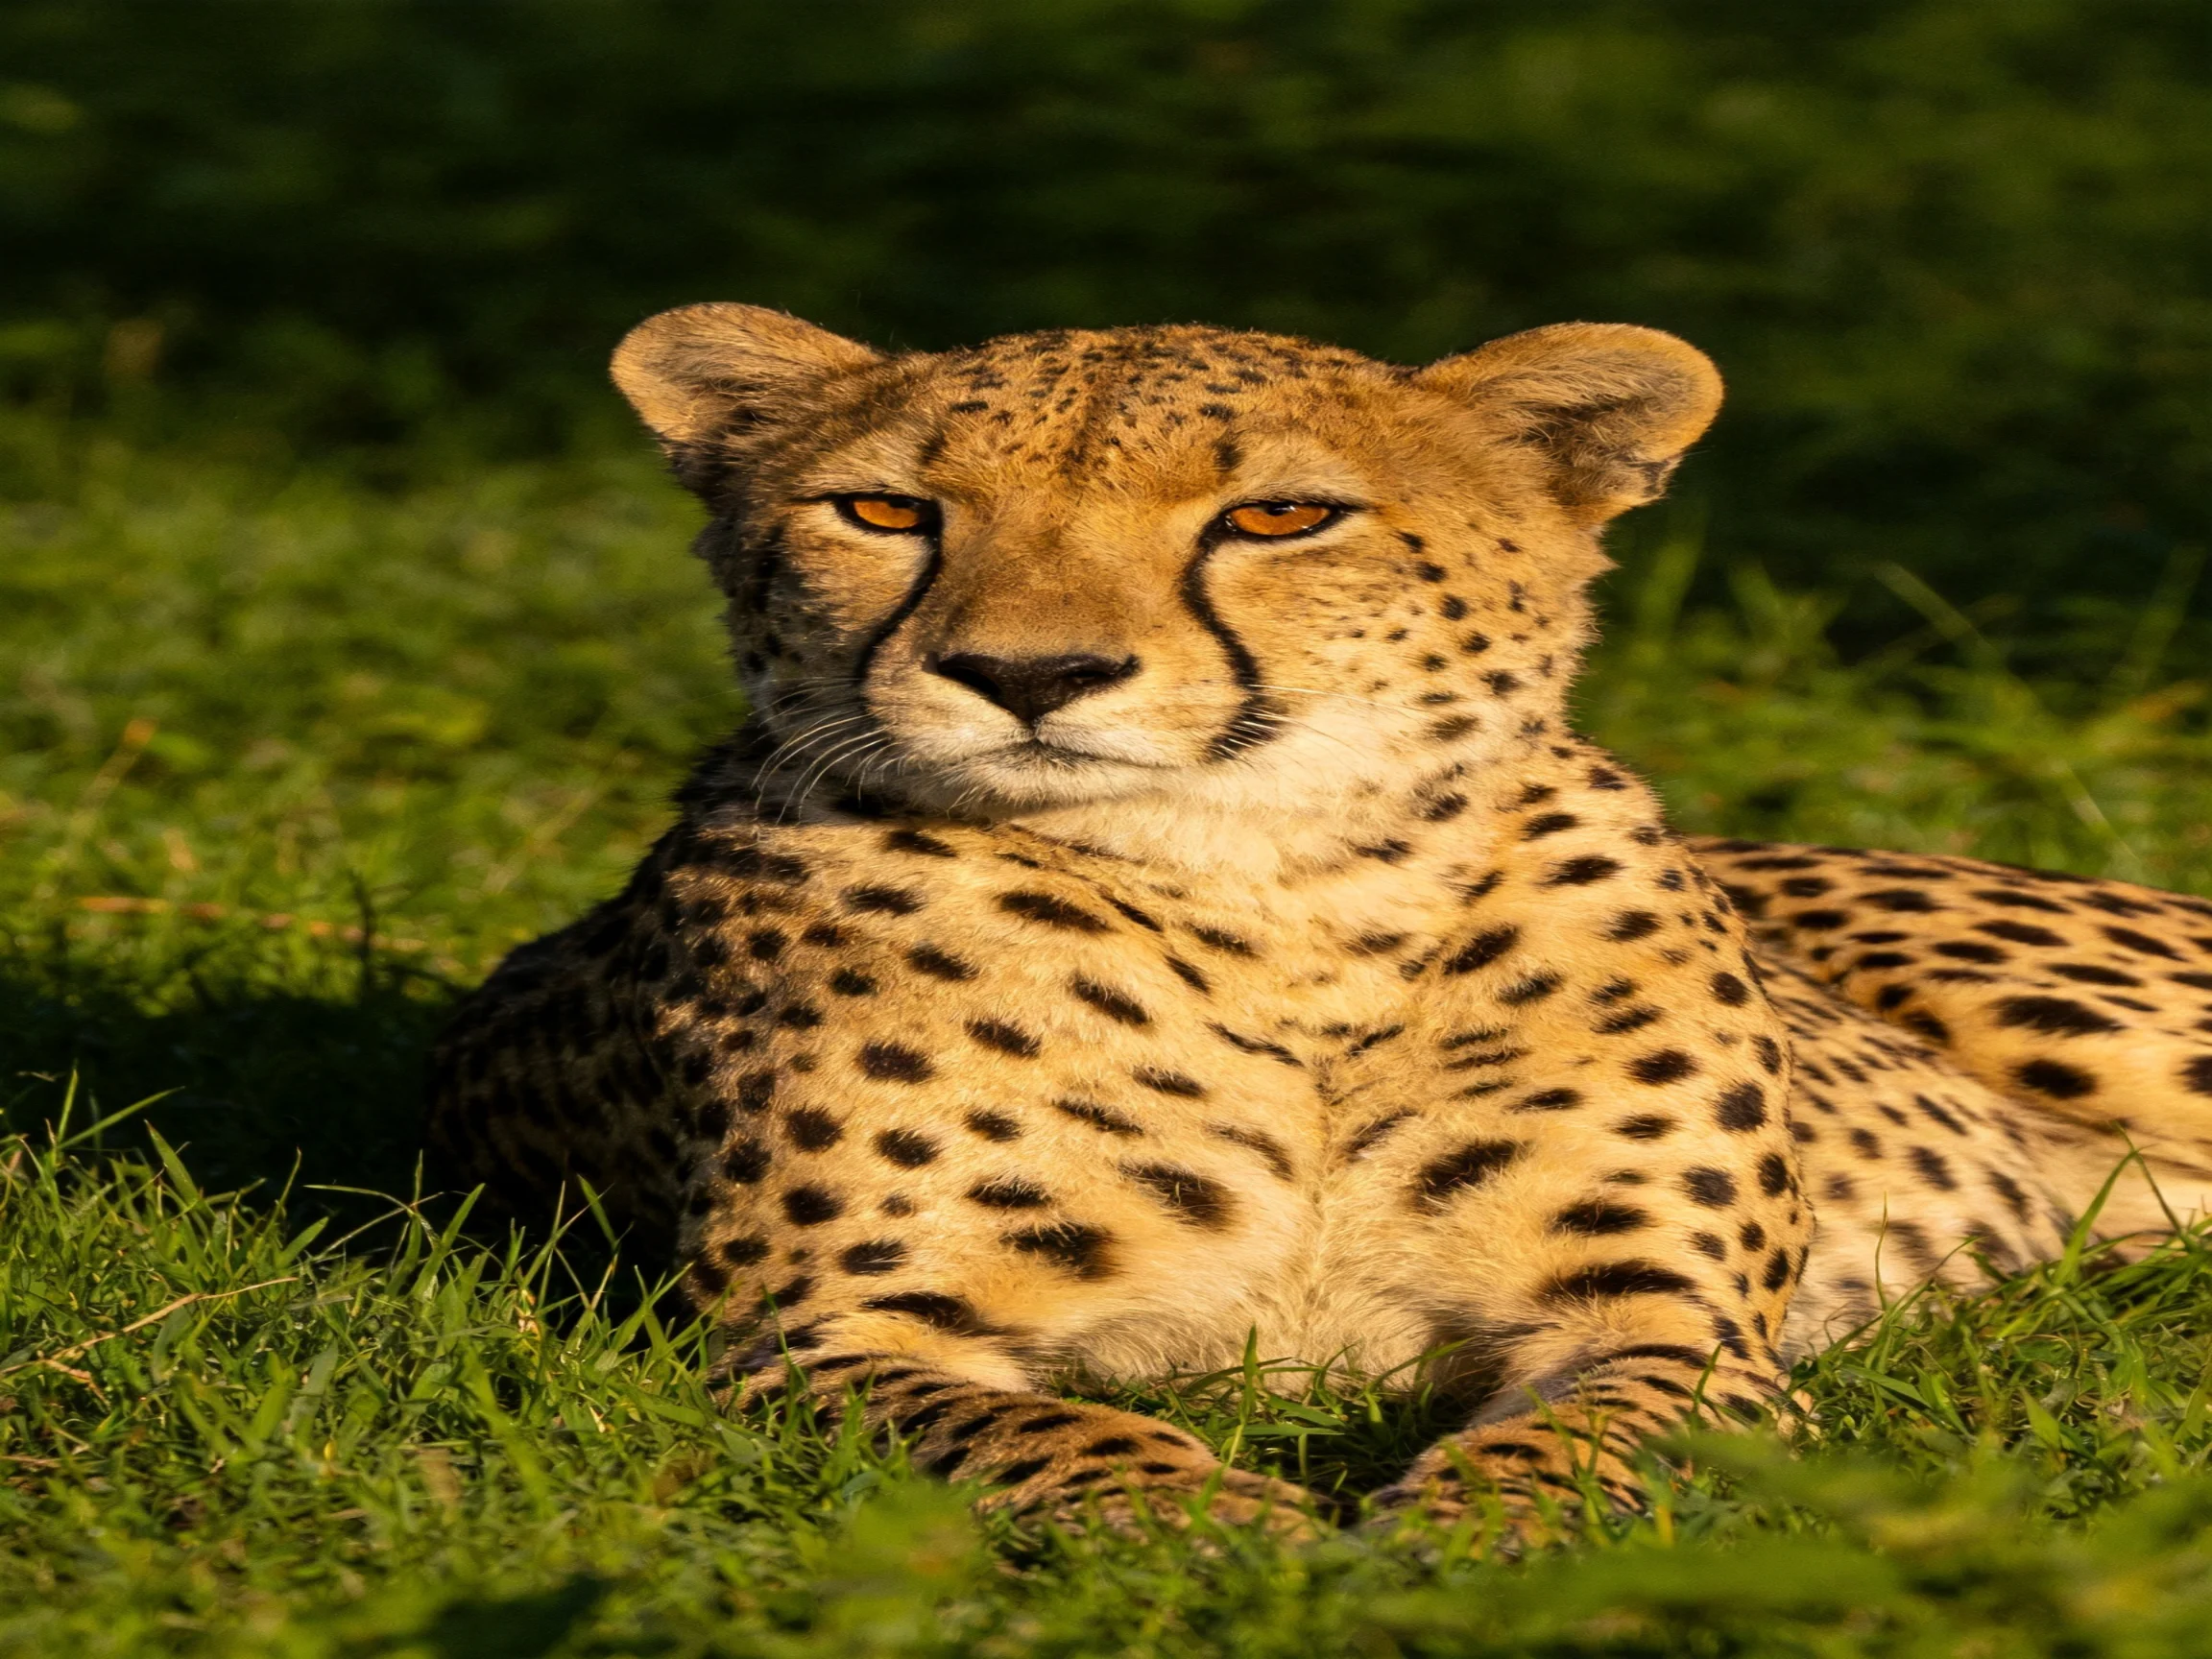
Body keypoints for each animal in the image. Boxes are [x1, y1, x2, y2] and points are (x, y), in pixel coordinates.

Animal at [426, 302, 2212, 1548]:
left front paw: (1466, 1548)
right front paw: (1223, 1534)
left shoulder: (1659, 1315)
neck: (1270, 900)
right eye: (881, 512)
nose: (1026, 673)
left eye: (1276, 519)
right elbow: (1052, 1439)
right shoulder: (824, 1339)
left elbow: (1578, 1441)